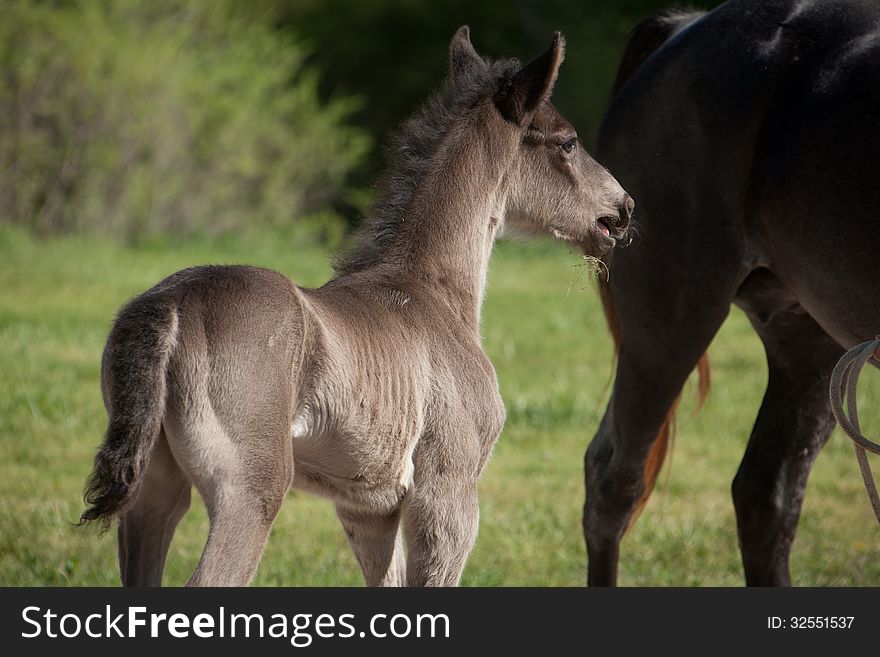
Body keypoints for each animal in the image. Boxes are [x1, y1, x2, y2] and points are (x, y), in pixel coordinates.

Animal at [81, 28, 632, 588]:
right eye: (568, 141)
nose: (623, 209)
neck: (433, 293)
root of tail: (171, 305)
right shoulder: (448, 494)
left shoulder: (367, 507)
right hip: (250, 492)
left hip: (154, 492)